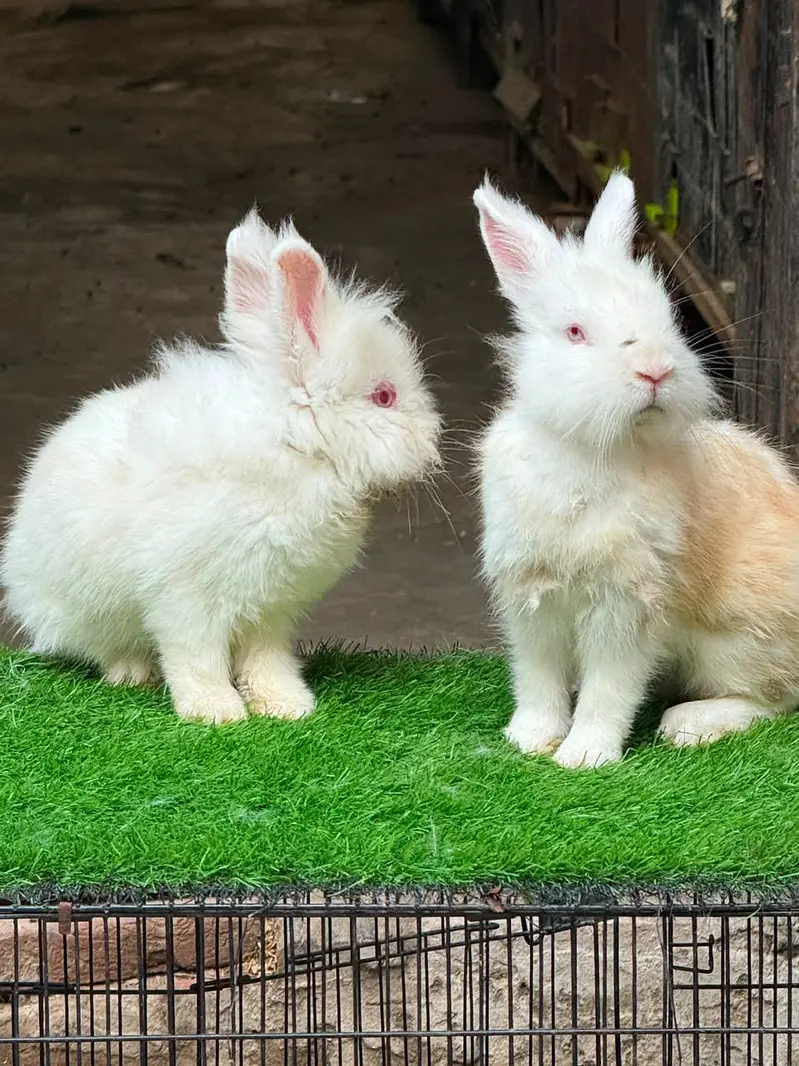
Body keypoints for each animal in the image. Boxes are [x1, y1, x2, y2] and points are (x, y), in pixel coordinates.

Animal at [1, 209, 441, 725]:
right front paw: (217, 713)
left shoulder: (269, 609)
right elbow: (196, 657)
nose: (432, 440)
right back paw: (134, 675)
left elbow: (266, 659)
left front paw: (287, 706)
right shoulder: (186, 597)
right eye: (385, 397)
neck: (295, 445)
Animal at [473, 169, 799, 768]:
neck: (592, 451)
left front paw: (584, 756)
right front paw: (530, 739)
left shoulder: (627, 602)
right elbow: (537, 678)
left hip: (740, 638)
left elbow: (611, 687)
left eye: (667, 321)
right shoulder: (530, 596)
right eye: (574, 332)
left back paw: (688, 723)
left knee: (774, 699)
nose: (656, 370)